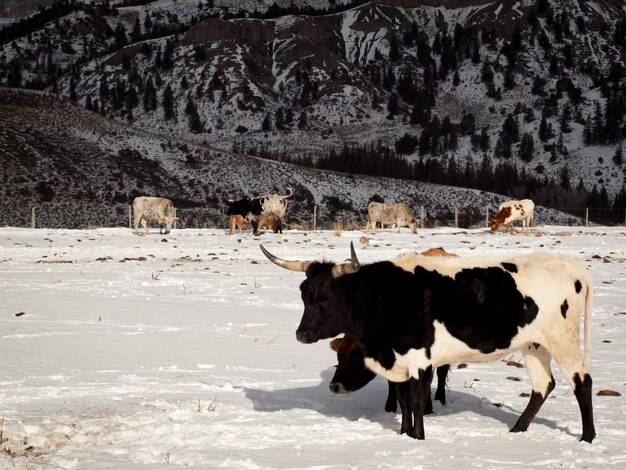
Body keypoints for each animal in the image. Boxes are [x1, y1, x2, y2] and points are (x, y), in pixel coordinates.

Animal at [326, 248, 454, 414]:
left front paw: (428, 408)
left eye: (355, 357)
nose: (334, 386)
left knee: (442, 373)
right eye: (338, 356)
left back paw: (440, 399)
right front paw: (390, 406)